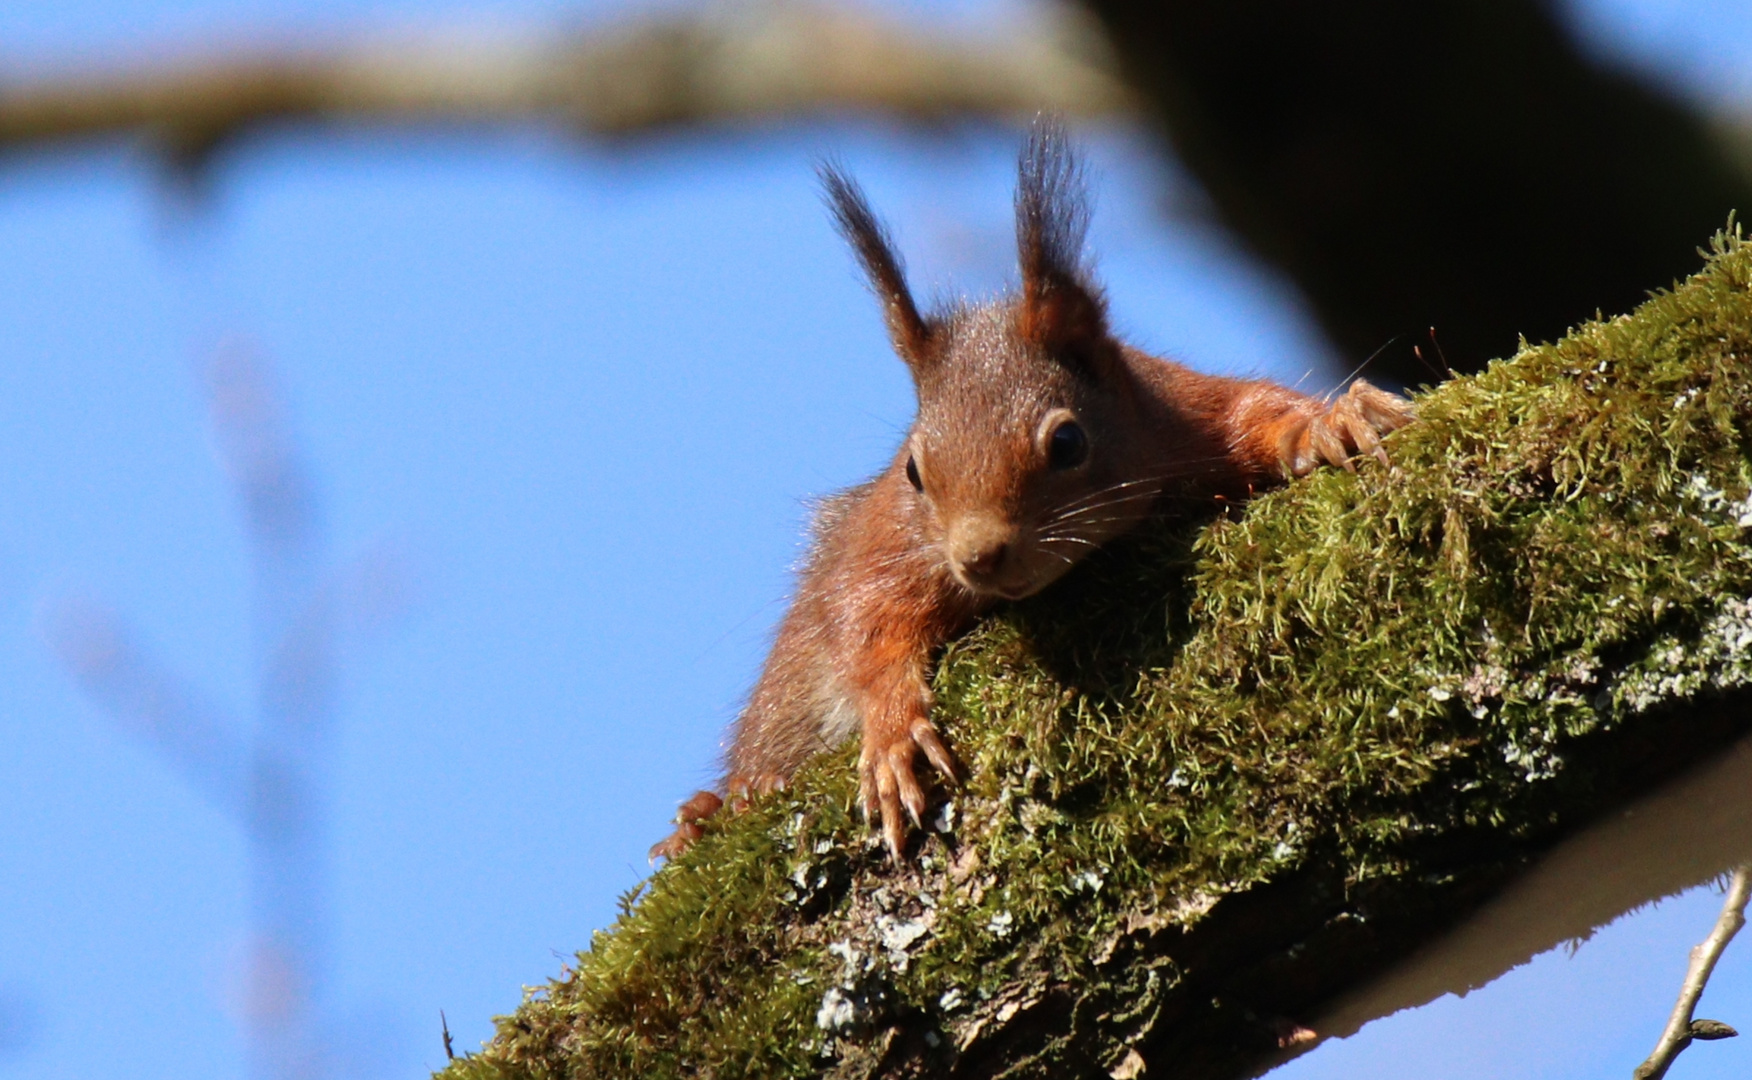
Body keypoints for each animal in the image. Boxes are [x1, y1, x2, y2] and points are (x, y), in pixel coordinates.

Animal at [655, 120, 1408, 859]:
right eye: (913, 472)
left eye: (1067, 443)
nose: (978, 557)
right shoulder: (890, 542)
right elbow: (861, 614)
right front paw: (893, 728)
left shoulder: (1183, 415)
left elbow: (1255, 413)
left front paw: (1328, 422)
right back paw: (709, 813)